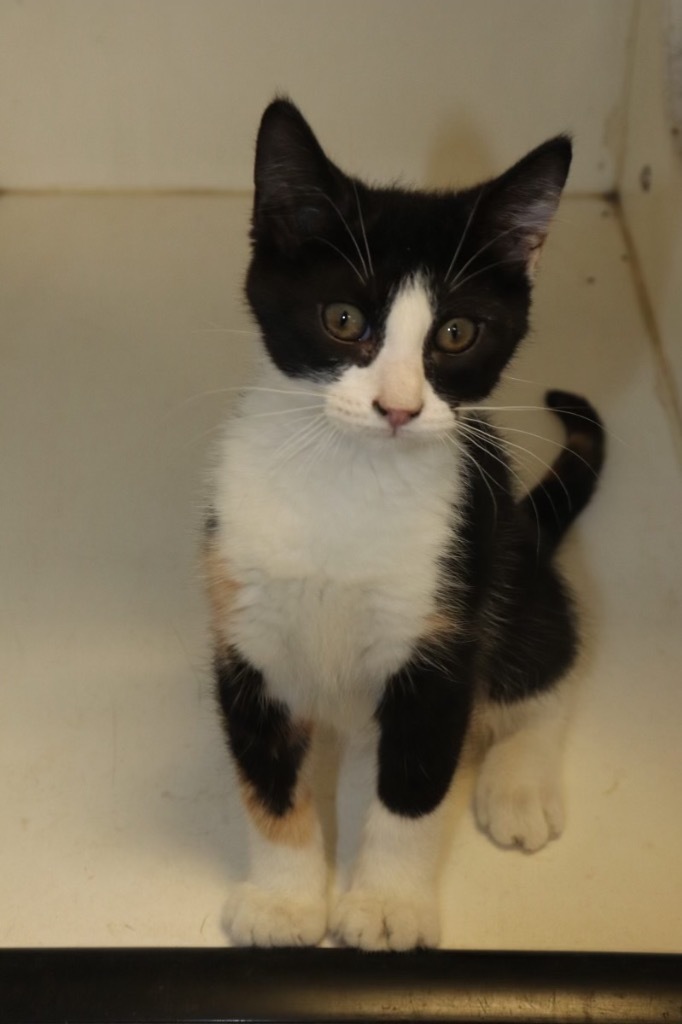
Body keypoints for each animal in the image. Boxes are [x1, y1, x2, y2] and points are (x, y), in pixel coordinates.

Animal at [204, 99, 602, 946]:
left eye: (456, 333)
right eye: (342, 317)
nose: (398, 407)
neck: (348, 480)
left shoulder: (443, 637)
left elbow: (414, 791)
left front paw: (386, 903)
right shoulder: (245, 628)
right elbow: (267, 779)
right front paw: (286, 901)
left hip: (508, 569)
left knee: (549, 663)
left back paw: (519, 784)